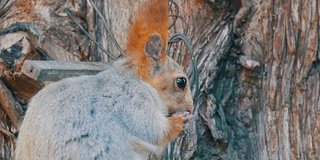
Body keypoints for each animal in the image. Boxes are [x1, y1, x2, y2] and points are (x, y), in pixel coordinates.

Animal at [15, 0, 194, 159]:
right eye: (181, 82)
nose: (191, 108)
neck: (139, 80)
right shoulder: (132, 100)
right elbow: (151, 130)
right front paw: (180, 121)